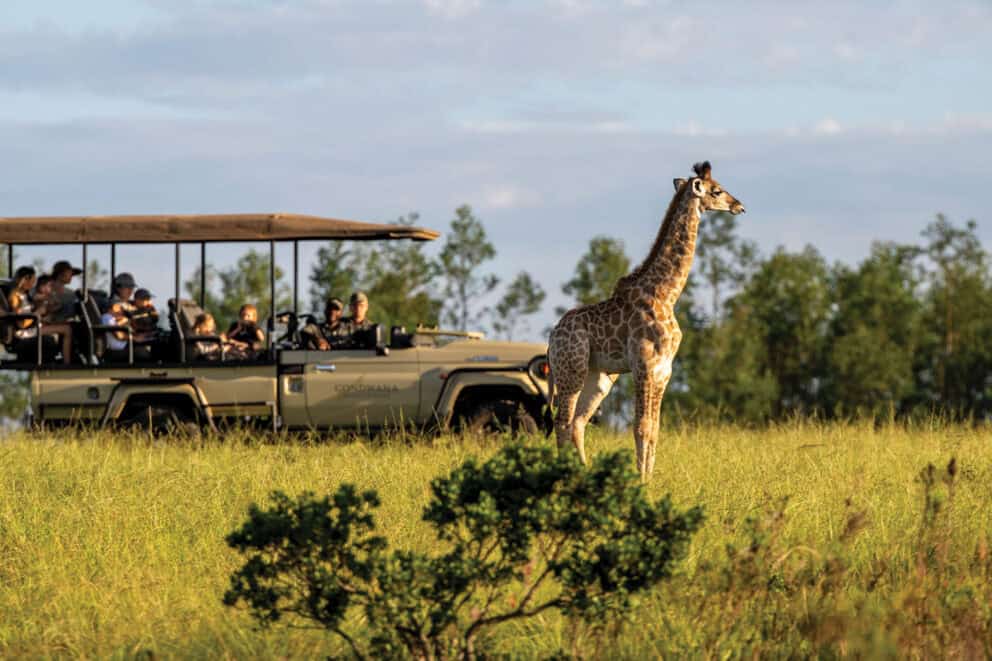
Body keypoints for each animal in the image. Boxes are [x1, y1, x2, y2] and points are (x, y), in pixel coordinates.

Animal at [548, 161, 745, 479]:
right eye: (717, 190)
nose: (739, 206)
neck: (666, 293)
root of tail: (551, 338)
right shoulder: (644, 364)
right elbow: (640, 427)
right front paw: (640, 482)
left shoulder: (665, 369)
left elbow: (654, 429)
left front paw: (649, 479)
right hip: (571, 370)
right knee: (562, 422)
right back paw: (566, 474)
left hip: (599, 377)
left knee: (577, 423)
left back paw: (584, 471)